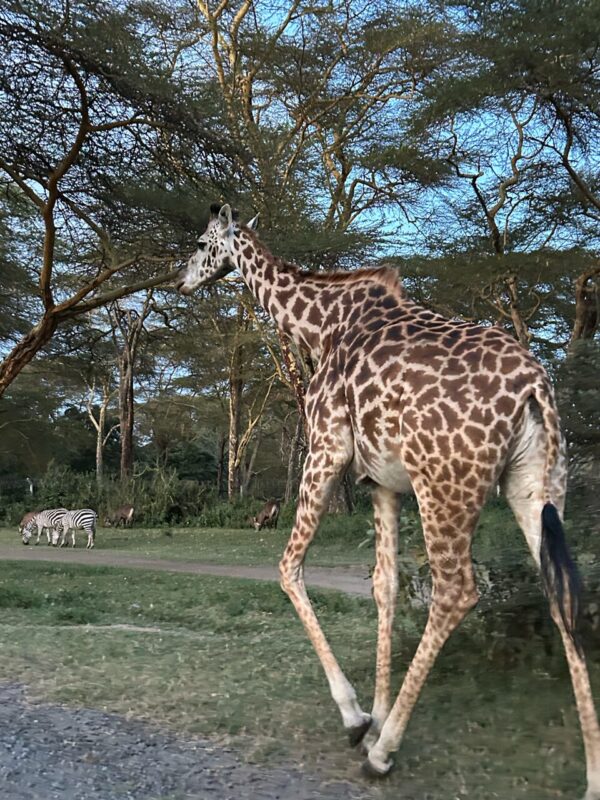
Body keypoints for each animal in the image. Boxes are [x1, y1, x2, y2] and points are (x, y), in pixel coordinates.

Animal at [176, 203, 596, 796]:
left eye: (199, 243)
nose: (181, 279)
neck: (320, 324)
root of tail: (536, 389)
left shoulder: (326, 449)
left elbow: (288, 568)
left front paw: (358, 720)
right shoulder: (383, 484)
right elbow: (386, 586)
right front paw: (375, 715)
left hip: (445, 485)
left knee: (456, 592)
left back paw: (383, 755)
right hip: (535, 484)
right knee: (561, 595)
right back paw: (593, 777)